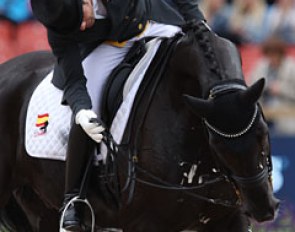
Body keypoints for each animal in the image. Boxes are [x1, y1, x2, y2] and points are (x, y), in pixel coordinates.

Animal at [0, 22, 280, 231]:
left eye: (263, 133)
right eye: (217, 144)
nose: (263, 209)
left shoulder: (229, 218)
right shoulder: (147, 222)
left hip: (39, 208)